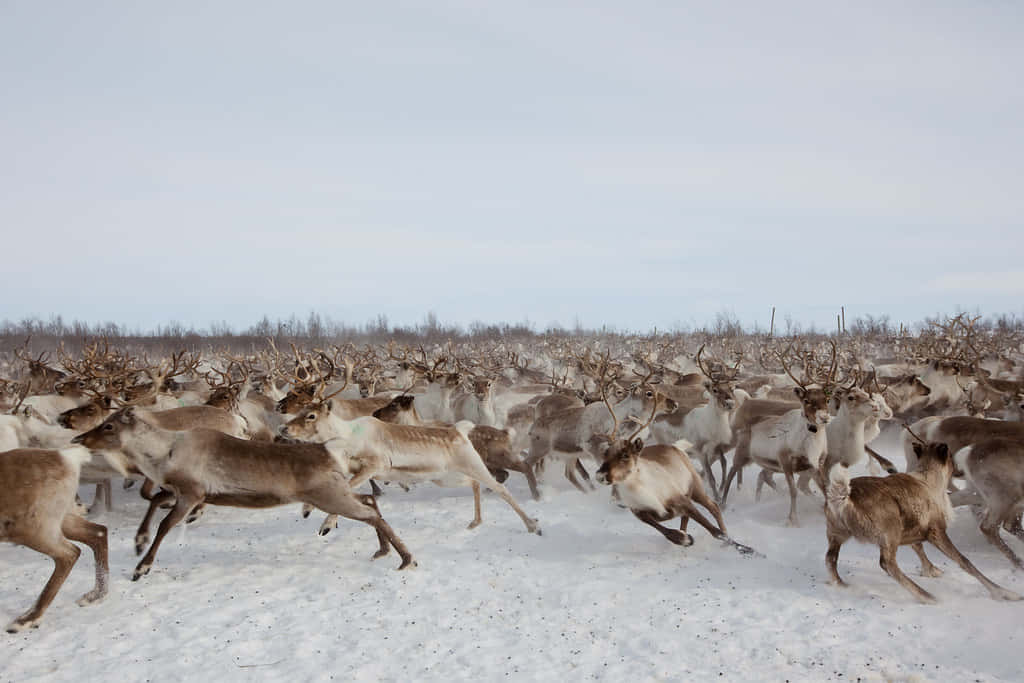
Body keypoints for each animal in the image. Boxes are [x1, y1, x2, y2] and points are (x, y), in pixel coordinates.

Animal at [0, 446, 109, 632]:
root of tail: (67, 458)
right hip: (62, 519)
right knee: (99, 533)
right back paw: (95, 596)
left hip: (32, 529)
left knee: (70, 553)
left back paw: (26, 619)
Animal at [71, 407, 417, 580]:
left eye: (108, 427)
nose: (78, 438)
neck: (162, 453)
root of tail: (330, 451)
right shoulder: (184, 492)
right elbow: (155, 500)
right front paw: (138, 540)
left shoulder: (192, 493)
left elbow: (165, 525)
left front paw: (142, 566)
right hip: (334, 492)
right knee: (370, 501)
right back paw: (384, 550)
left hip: (329, 495)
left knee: (369, 511)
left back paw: (407, 559)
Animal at [824, 440, 1021, 604]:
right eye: (950, 457)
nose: (961, 469)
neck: (931, 478)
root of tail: (843, 499)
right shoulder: (936, 531)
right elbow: (965, 562)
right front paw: (1003, 592)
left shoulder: (913, 529)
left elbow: (918, 547)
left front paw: (931, 570)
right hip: (890, 530)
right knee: (887, 563)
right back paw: (926, 596)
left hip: (837, 533)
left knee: (830, 558)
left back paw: (840, 584)